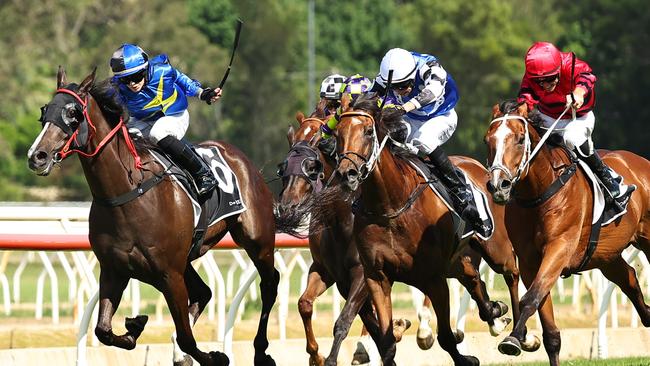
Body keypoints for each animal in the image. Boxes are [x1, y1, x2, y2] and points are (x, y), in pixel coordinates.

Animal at [27, 66, 278, 366]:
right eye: (44, 111)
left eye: (73, 113)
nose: (37, 156)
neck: (126, 193)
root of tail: (240, 156)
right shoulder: (114, 269)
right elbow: (103, 330)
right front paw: (135, 325)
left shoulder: (169, 274)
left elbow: (187, 338)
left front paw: (215, 356)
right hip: (188, 258)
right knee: (204, 292)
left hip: (257, 238)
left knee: (269, 283)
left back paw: (261, 351)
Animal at [332, 95, 524, 366]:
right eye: (338, 133)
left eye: (369, 131)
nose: (346, 174)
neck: (390, 205)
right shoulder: (376, 277)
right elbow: (387, 342)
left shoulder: (434, 278)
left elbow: (445, 337)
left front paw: (466, 358)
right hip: (455, 260)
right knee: (472, 277)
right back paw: (496, 311)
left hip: (496, 249)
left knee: (512, 274)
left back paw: (521, 334)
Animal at [480, 98, 648, 364]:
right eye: (488, 140)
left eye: (520, 139)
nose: (499, 185)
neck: (539, 193)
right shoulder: (529, 261)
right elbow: (549, 331)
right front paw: (523, 339)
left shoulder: (560, 248)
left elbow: (531, 297)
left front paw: (514, 339)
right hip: (606, 255)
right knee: (630, 278)